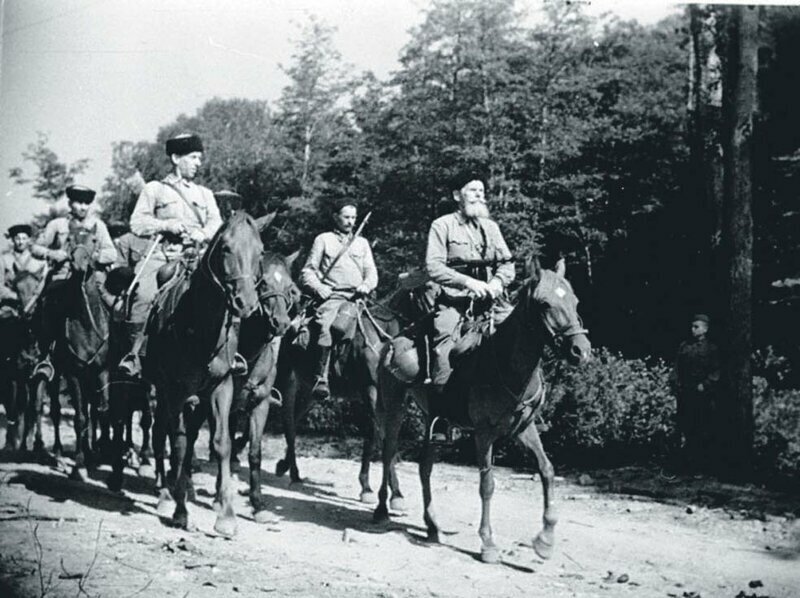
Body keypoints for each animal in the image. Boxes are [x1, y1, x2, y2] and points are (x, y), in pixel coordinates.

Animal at [144, 212, 268, 540]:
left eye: (260, 252)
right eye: (225, 248)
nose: (246, 304)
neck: (199, 327)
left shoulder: (220, 388)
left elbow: (222, 443)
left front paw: (226, 517)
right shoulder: (174, 391)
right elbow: (178, 445)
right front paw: (180, 512)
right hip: (160, 391)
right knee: (160, 435)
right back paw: (166, 495)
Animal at [276, 290, 404, 506]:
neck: (382, 340)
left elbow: (376, 436)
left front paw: (370, 488)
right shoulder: (370, 391)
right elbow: (383, 437)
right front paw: (392, 494)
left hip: (309, 392)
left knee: (294, 419)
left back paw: (285, 466)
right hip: (289, 383)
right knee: (288, 423)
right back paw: (293, 474)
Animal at [372, 256, 592, 564]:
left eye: (575, 300)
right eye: (544, 304)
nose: (581, 351)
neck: (506, 363)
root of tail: (391, 342)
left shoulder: (524, 429)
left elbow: (547, 470)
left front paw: (546, 540)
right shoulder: (484, 433)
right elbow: (487, 484)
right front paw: (488, 544)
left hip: (434, 421)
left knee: (425, 467)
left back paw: (432, 526)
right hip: (394, 408)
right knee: (388, 451)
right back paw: (382, 509)